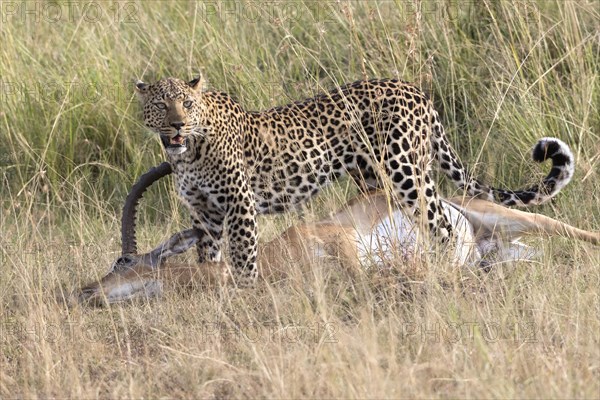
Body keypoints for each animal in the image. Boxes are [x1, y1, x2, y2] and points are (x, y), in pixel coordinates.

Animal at [134, 75, 576, 288]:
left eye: (186, 103)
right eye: (161, 104)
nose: (177, 124)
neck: (188, 153)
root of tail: (416, 91)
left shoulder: (240, 205)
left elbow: (244, 259)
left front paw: (245, 295)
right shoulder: (204, 215)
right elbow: (208, 258)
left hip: (407, 172)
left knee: (444, 228)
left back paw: (443, 274)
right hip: (372, 177)